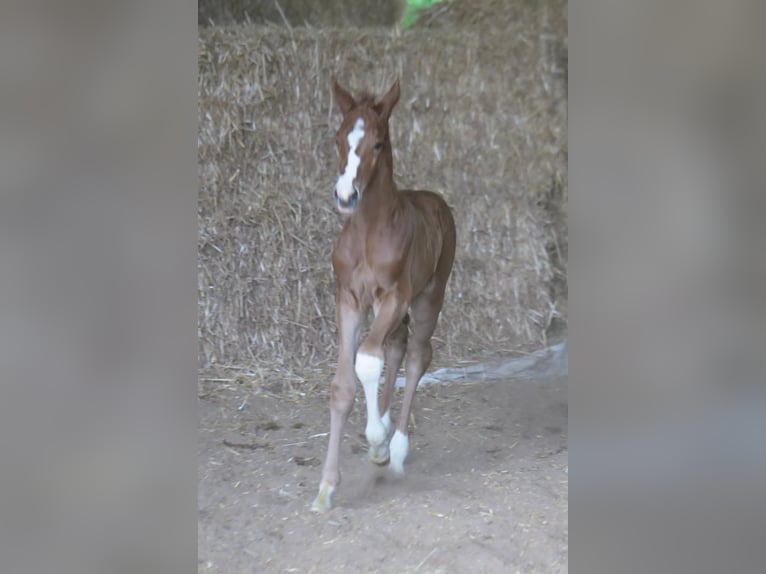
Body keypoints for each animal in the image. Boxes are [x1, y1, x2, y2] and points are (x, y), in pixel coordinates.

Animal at [310, 76, 456, 512]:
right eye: (339, 138)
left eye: (377, 143)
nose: (345, 196)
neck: (368, 233)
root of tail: (436, 199)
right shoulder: (348, 300)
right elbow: (343, 385)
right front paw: (326, 487)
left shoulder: (395, 296)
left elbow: (367, 360)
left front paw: (378, 444)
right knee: (396, 347)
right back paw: (388, 423)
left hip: (429, 297)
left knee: (417, 354)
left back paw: (398, 448)